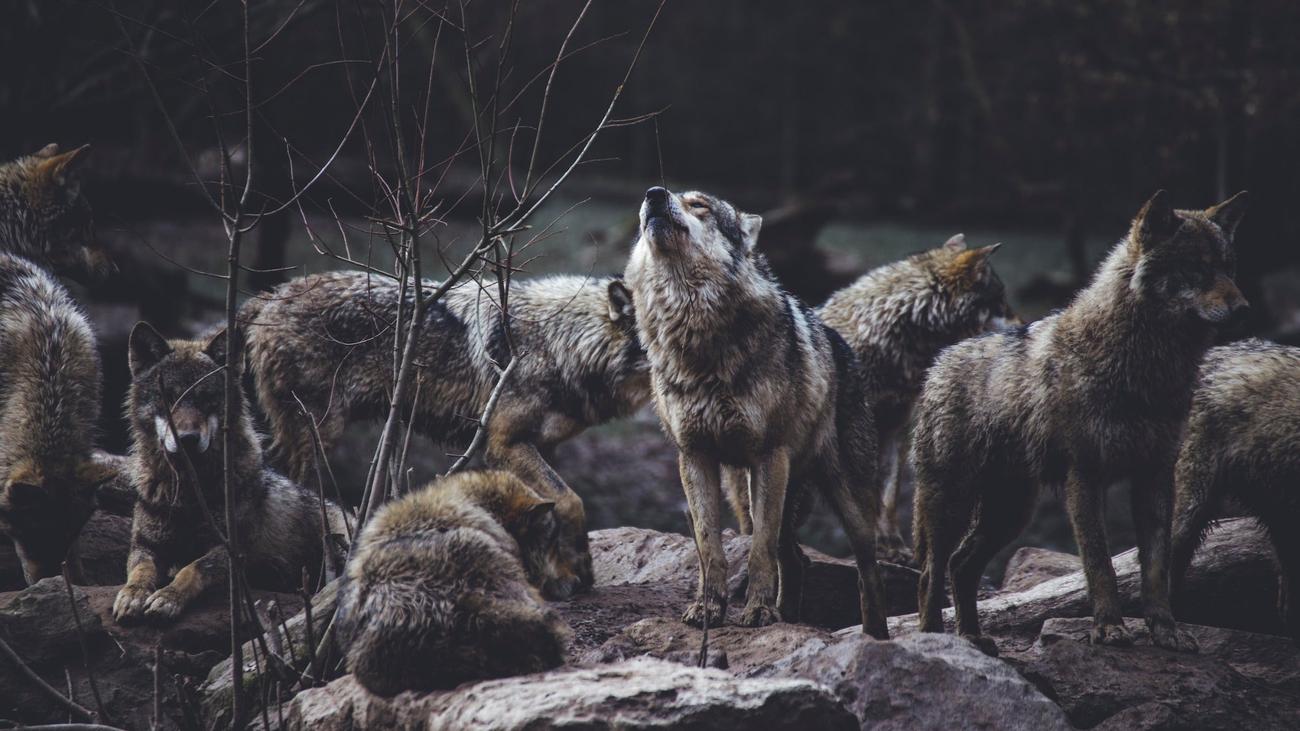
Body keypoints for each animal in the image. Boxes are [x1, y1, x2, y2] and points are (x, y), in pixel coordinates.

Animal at [112, 323, 353, 623]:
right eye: (168, 397)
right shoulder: (144, 545)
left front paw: (167, 597)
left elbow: (191, 569)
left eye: (206, 398)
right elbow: (140, 571)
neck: (189, 494)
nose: (187, 439)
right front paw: (132, 595)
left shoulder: (232, 550)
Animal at [241, 271, 649, 598]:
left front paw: (563, 575)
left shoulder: (543, 446)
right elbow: (571, 501)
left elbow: (552, 510)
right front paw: (580, 570)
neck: (560, 342)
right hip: (317, 437)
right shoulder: (504, 443)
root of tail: (271, 294)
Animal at [624, 186, 888, 637]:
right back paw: (791, 617)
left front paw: (760, 612)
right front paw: (708, 609)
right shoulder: (694, 457)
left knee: (866, 573)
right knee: (796, 559)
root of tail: (841, 343)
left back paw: (875, 637)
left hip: (845, 500)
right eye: (659, 197)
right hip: (750, 492)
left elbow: (759, 551)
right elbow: (709, 547)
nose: (654, 194)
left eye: (699, 205)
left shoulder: (769, 456)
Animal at [912, 190, 1248, 655]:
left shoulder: (1155, 475)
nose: (1243, 308)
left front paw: (1166, 630)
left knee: (961, 565)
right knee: (932, 570)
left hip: (1010, 512)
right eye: (1197, 268)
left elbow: (1157, 568)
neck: (1144, 368)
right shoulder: (1084, 476)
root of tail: (940, 361)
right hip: (953, 503)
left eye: (1229, 268)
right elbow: (1099, 563)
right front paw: (1109, 628)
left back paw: (973, 639)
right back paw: (935, 640)